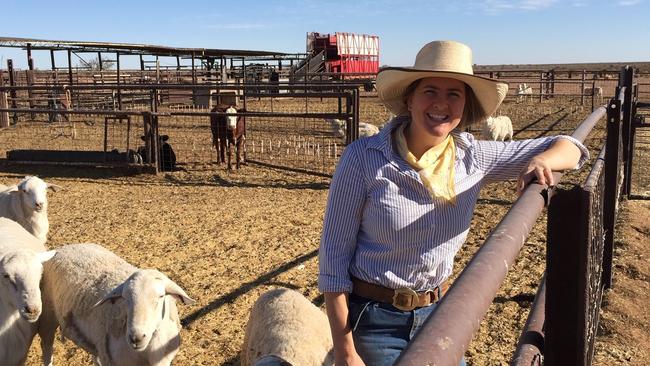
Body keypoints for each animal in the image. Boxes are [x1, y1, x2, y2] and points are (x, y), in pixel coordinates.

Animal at [37, 243, 194, 366]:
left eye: (161, 296)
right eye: (125, 298)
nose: (136, 338)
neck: (147, 352)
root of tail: (64, 247)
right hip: (47, 316)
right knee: (46, 348)